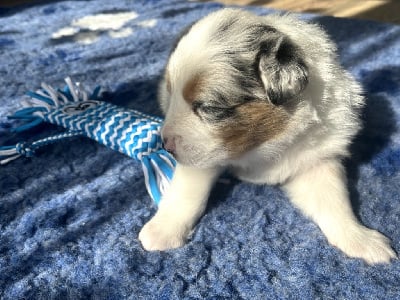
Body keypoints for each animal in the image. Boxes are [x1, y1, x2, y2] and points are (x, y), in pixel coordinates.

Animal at [139, 8, 396, 264]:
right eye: (173, 93)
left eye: (210, 107)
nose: (165, 144)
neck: (261, 146)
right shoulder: (202, 155)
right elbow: (187, 191)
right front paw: (162, 231)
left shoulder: (316, 160)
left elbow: (333, 200)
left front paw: (361, 240)